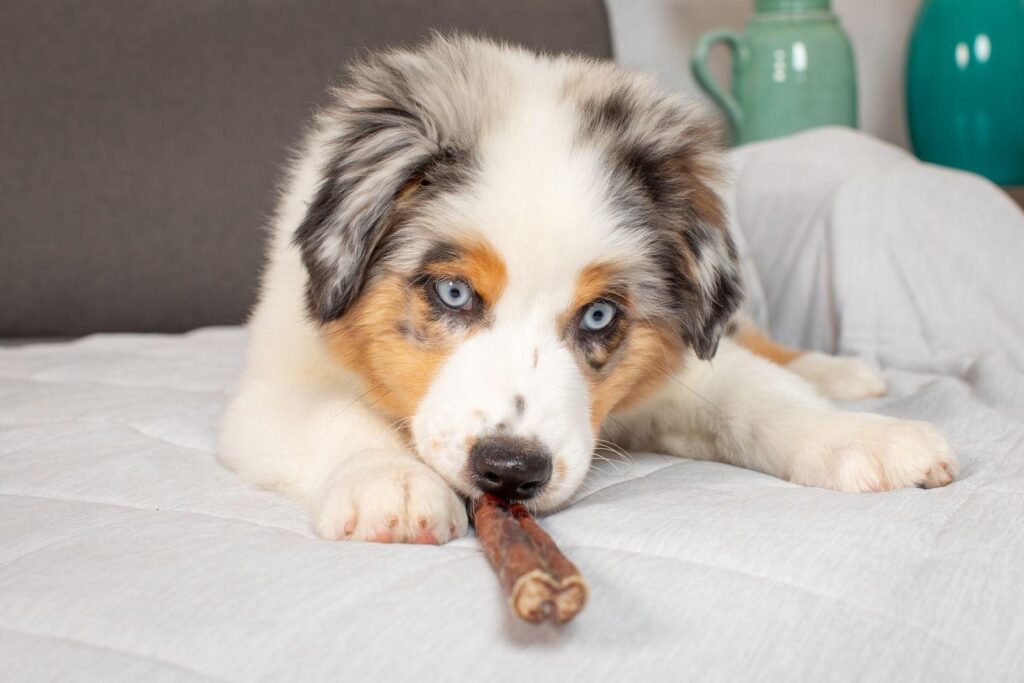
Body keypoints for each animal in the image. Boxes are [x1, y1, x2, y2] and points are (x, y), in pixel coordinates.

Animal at [218, 36, 958, 544]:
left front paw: (864, 437)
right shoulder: (273, 383)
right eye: (454, 294)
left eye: (599, 314)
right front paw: (390, 484)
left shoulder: (678, 366)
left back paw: (841, 373)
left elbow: (760, 393)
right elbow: (335, 415)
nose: (510, 470)